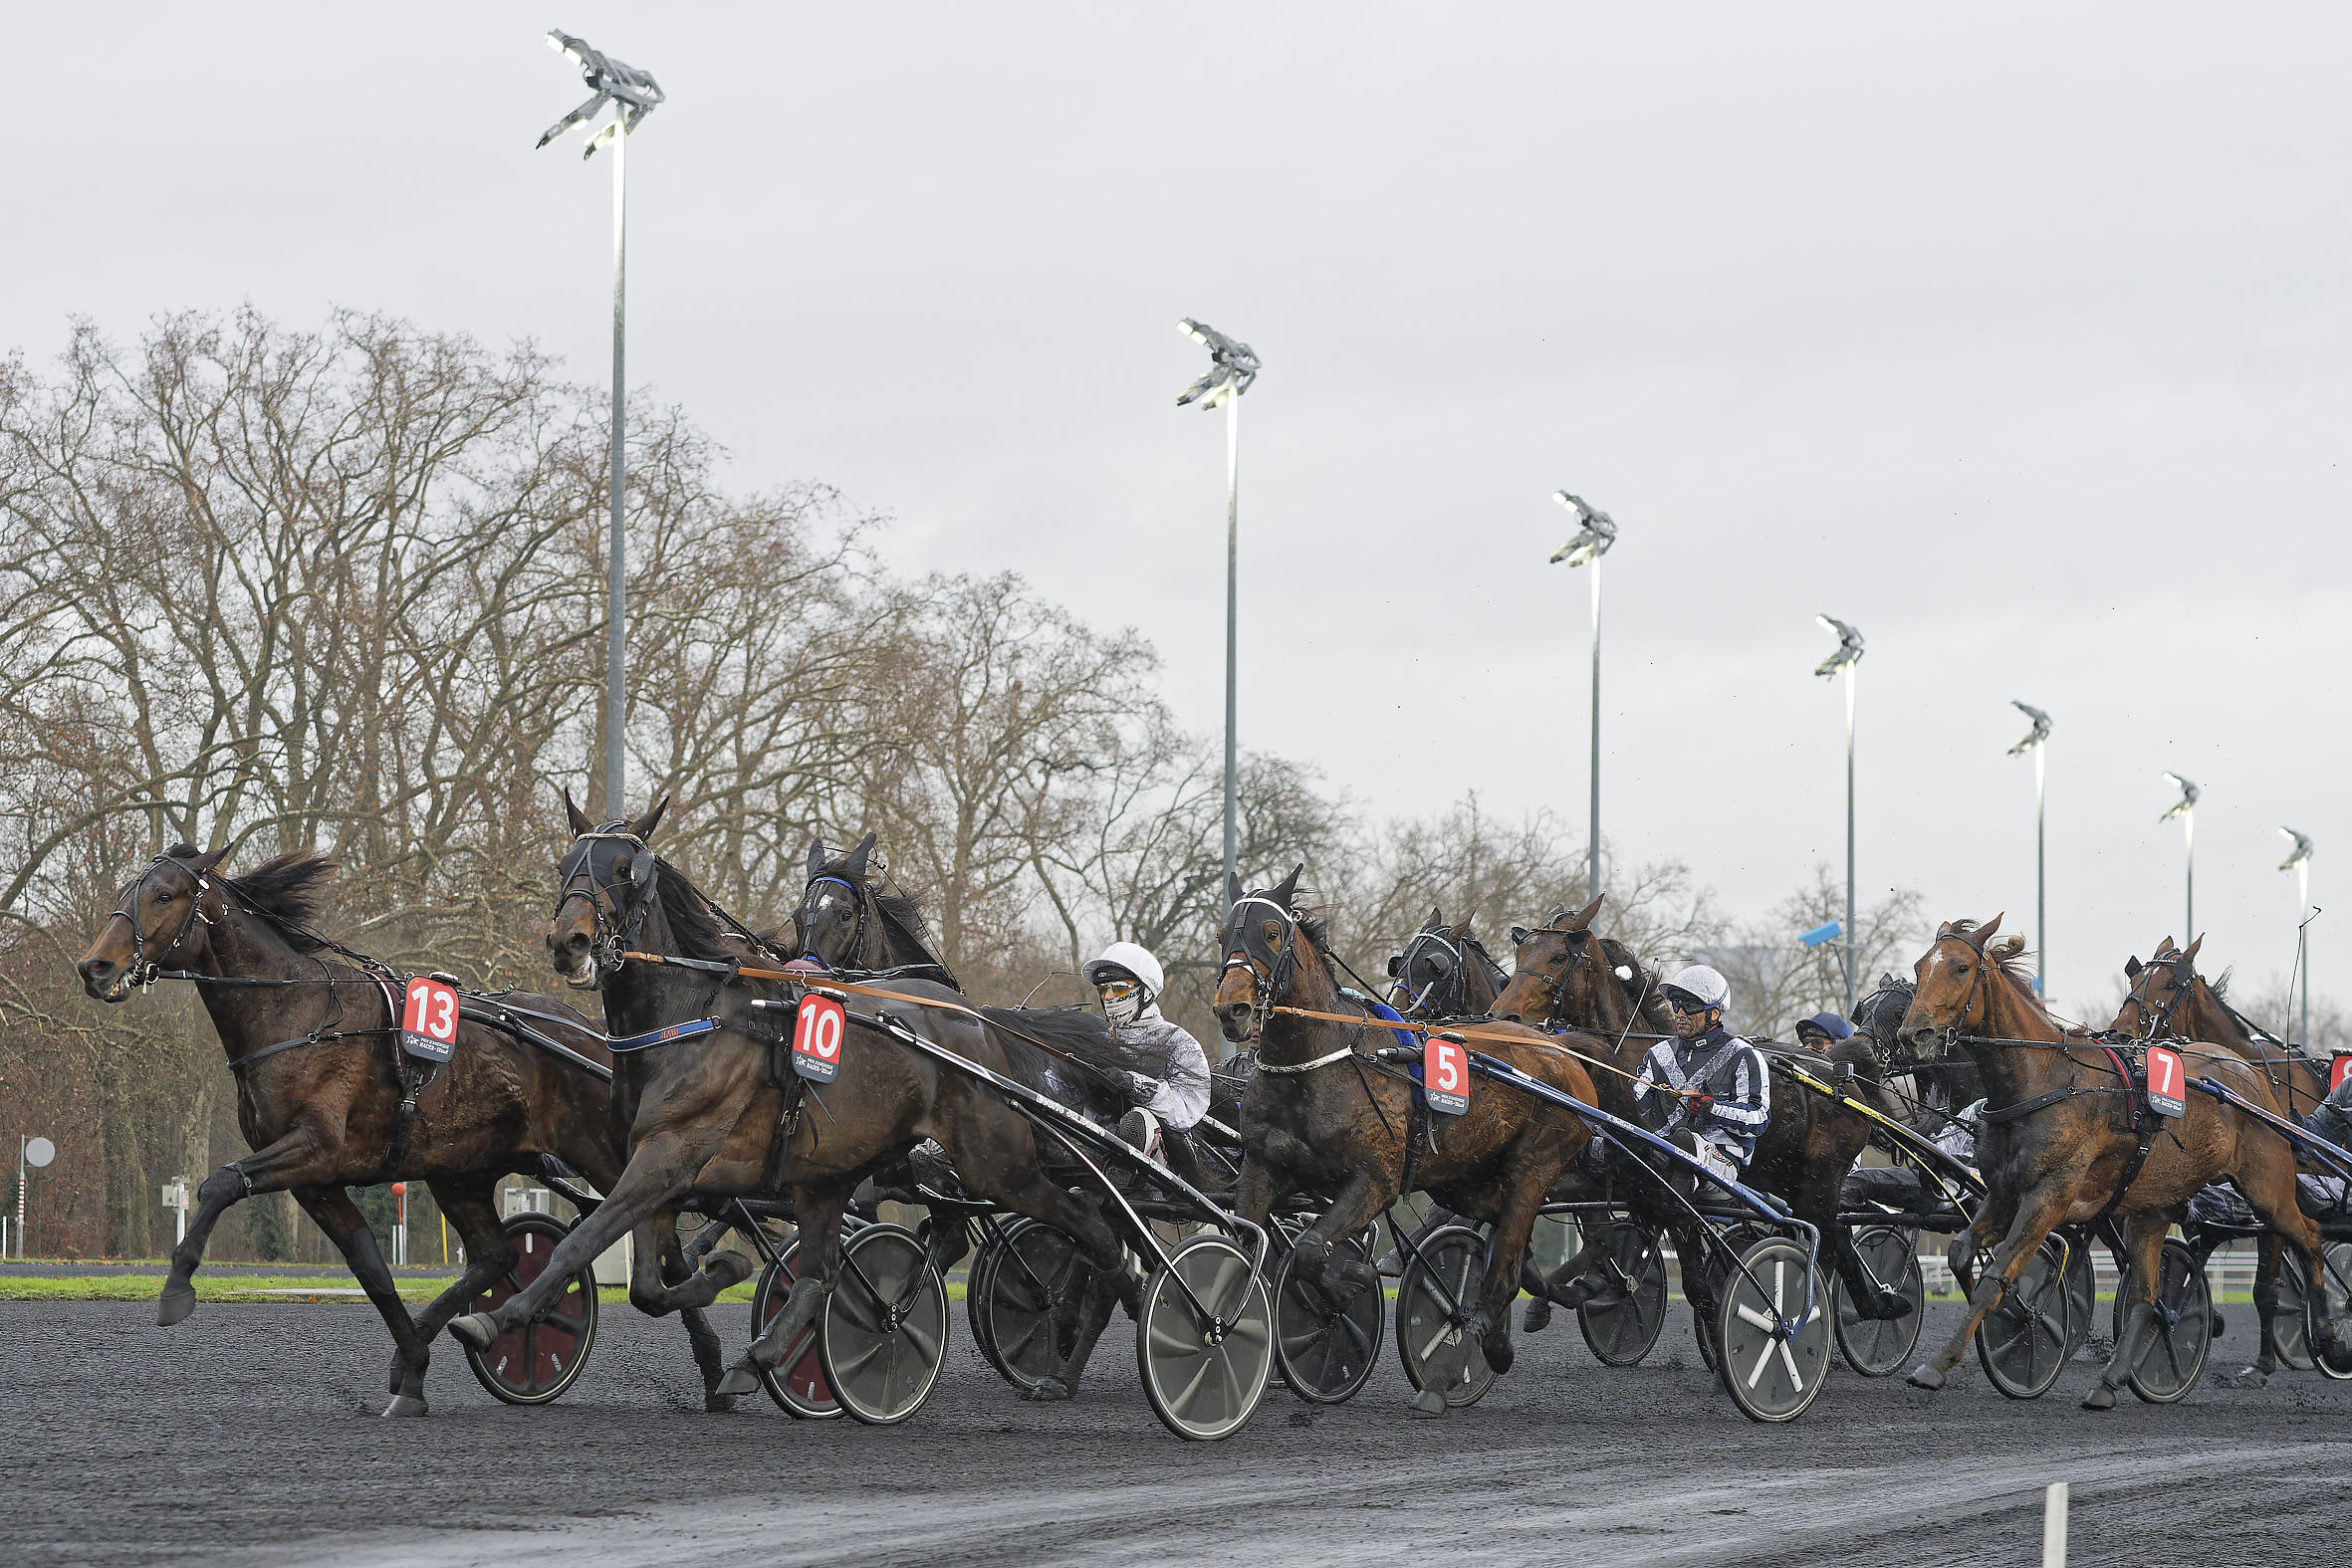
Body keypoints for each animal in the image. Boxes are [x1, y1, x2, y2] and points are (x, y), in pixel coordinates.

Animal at [73, 843, 729, 1416]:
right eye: (125, 892)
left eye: (163, 895)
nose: (94, 966)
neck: (298, 1016)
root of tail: (593, 1036)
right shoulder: (316, 1180)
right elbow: (370, 1267)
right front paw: (410, 1367)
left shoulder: (314, 1148)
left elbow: (219, 1184)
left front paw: (176, 1290)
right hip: (459, 1170)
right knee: (495, 1256)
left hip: (607, 1152)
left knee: (656, 1231)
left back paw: (717, 1367)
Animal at [446, 800, 1138, 1405]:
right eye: (568, 864)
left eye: (624, 869)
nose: (568, 941)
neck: (690, 1019)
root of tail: (979, 1024)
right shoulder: (654, 1164)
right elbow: (646, 1283)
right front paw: (722, 1275)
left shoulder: (671, 1156)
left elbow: (582, 1240)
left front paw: (497, 1318)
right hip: (831, 1175)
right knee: (821, 1275)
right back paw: (756, 1359)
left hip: (994, 1164)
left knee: (1084, 1225)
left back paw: (1106, 1309)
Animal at [1214, 867, 1596, 1411]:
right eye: (1223, 934)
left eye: (1270, 933)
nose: (1233, 1009)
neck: (1318, 1063)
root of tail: (1560, 1051)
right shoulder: (1262, 1169)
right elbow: (1250, 1242)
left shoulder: (1375, 1181)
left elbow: (1309, 1247)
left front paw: (1347, 1284)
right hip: (1463, 1180)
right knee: (1503, 1234)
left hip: (1535, 1165)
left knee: (1507, 1257)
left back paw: (1478, 1346)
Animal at [1490, 898, 1911, 1334]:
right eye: (1522, 953)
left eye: (1558, 957)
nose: (1503, 1014)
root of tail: (1841, 1075)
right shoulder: (1608, 1176)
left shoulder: (1667, 1182)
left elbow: (1684, 1271)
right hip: (1782, 1179)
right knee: (1825, 1235)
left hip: (1820, 1182)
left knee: (1834, 1236)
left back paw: (1874, 1302)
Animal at [1896, 914, 2351, 1407]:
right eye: (1920, 966)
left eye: (1960, 967)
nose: (1912, 1034)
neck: (2044, 1080)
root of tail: (2249, 1074)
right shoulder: (2003, 1193)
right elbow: (1962, 1255)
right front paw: (2013, 1318)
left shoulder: (2049, 1197)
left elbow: (1994, 1275)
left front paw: (1940, 1364)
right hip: (2153, 1207)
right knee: (2146, 1297)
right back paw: (2111, 1381)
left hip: (2267, 1188)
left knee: (2309, 1237)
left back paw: (2330, 1338)